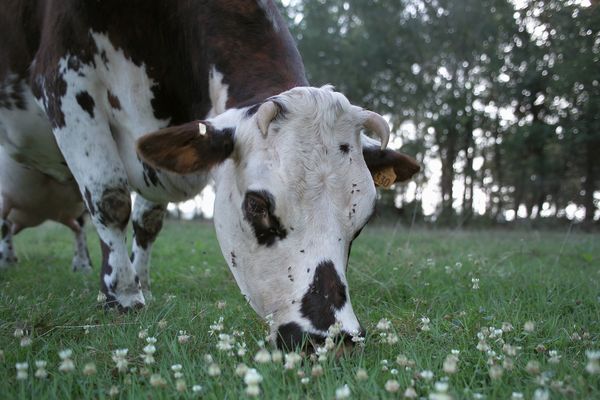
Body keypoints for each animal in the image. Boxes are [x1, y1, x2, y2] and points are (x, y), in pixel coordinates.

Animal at [1, 0, 422, 348]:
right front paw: (122, 295)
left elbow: (147, 223)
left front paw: (141, 282)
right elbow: (111, 199)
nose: (332, 339)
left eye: (363, 220)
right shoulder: (63, 78)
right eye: (256, 205)